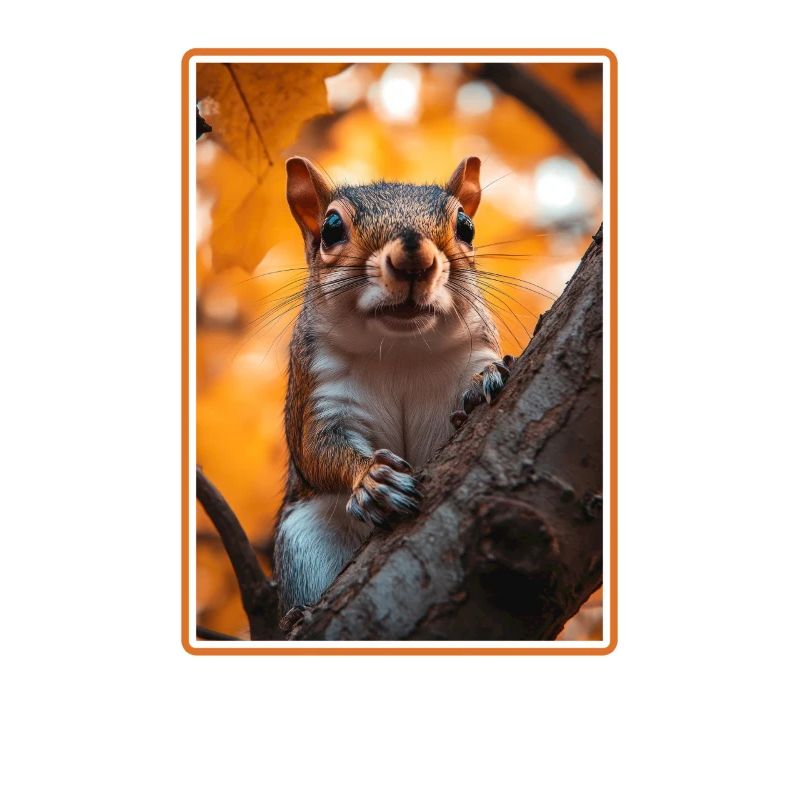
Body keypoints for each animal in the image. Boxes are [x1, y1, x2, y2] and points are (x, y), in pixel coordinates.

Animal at [273, 155, 514, 614]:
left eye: (466, 226)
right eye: (331, 227)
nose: (413, 259)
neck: (402, 349)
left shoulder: (473, 351)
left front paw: (486, 380)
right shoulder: (321, 392)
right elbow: (316, 449)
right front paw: (373, 481)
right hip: (305, 541)